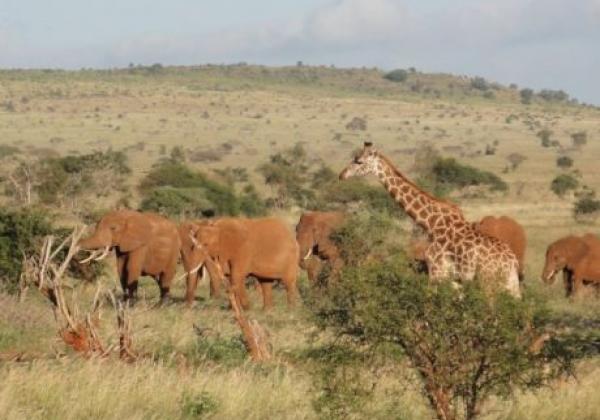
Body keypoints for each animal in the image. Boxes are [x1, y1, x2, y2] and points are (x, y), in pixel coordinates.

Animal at [340, 143, 524, 296]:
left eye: (359, 161)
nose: (342, 175)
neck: (431, 223)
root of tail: (512, 262)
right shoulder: (455, 279)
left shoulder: (436, 272)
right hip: (511, 285)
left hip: (489, 282)